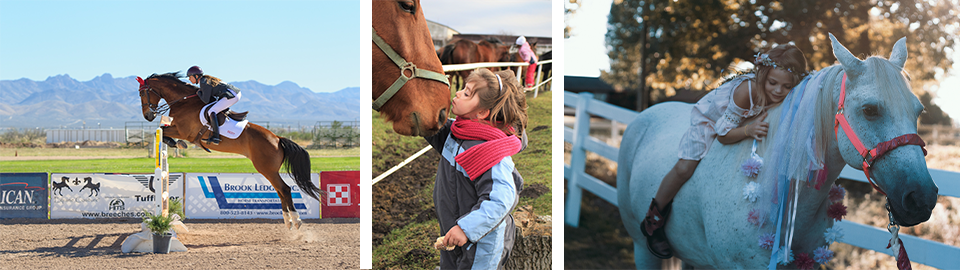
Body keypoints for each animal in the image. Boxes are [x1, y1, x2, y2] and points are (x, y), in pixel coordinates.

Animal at [137, 72, 320, 230]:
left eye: (142, 93)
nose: (147, 116)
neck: (183, 102)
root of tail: (277, 139)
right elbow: (162, 130)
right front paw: (175, 143)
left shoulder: (183, 131)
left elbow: (162, 130)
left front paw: (177, 143)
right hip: (269, 170)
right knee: (280, 191)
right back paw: (288, 222)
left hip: (266, 168)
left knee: (285, 190)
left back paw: (296, 221)